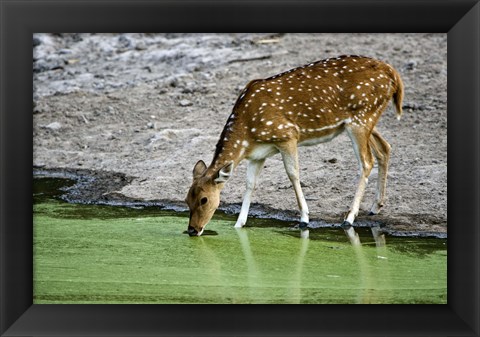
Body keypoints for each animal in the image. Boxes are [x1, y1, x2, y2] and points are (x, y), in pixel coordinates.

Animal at [186, 55, 404, 238]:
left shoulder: (287, 135)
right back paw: (376, 206)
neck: (247, 133)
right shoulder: (258, 154)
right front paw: (239, 224)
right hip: (366, 120)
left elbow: (293, 174)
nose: (192, 230)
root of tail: (393, 74)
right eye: (187, 199)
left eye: (204, 199)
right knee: (385, 148)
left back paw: (349, 218)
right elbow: (250, 184)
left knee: (366, 161)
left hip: (361, 118)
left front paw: (305, 218)